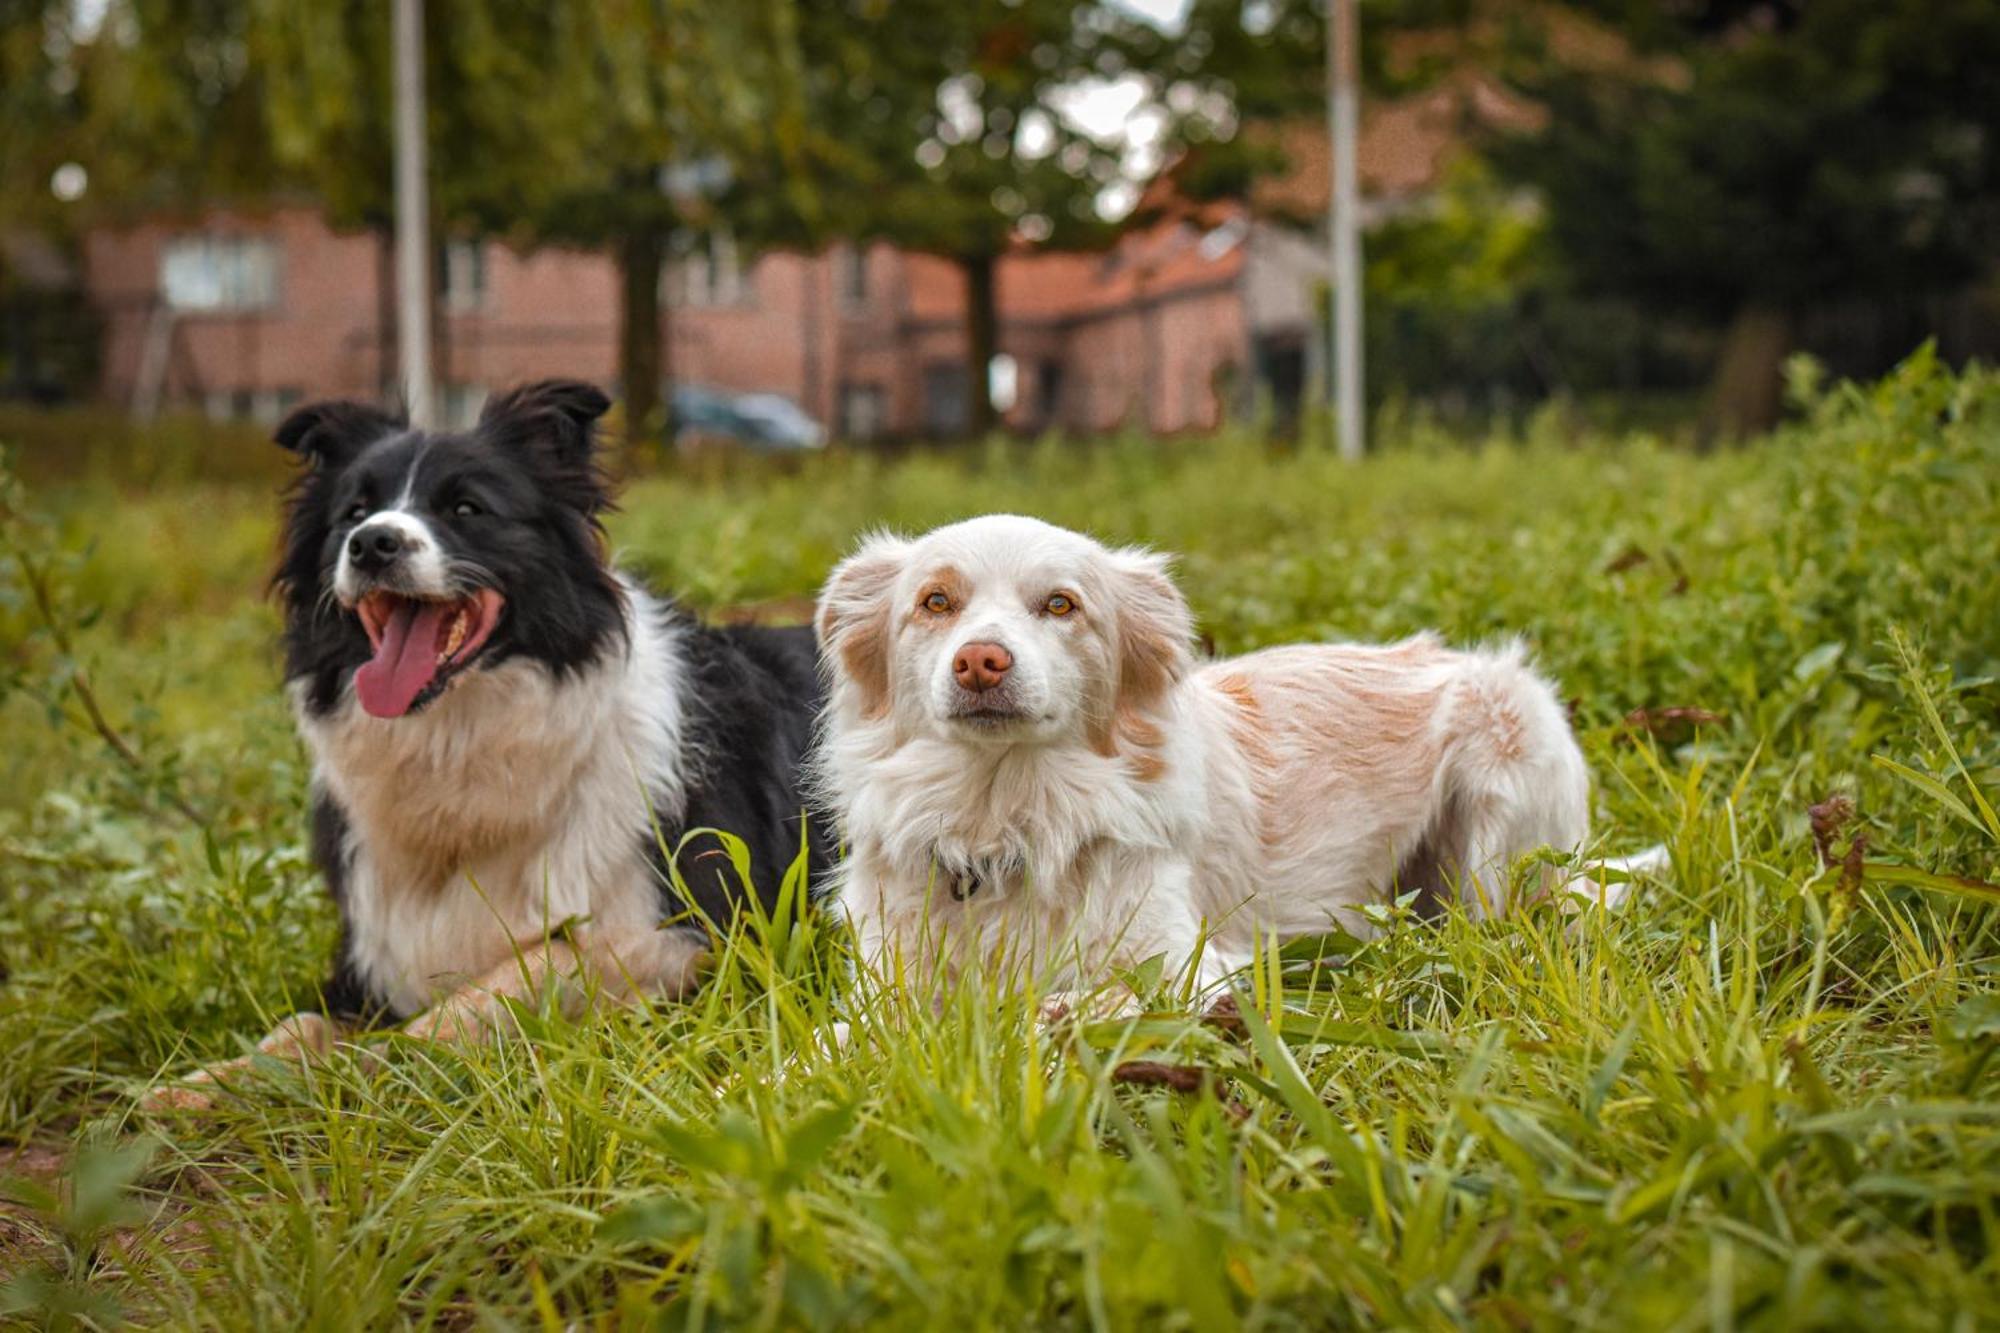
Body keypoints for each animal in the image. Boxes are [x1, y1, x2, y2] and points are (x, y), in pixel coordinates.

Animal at [145, 378, 824, 1104]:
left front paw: (360, 1074)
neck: (460, 747)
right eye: (353, 511)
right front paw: (196, 1087)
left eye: (467, 508)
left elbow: (500, 983)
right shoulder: (373, 956)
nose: (372, 542)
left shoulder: (702, 934)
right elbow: (295, 1028)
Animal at [812, 512, 1640, 1000]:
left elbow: (1050, 1011)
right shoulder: (885, 988)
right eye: (935, 603)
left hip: (1501, 776)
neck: (1000, 818)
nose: (980, 662)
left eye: (1061, 604)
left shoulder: (1188, 968)